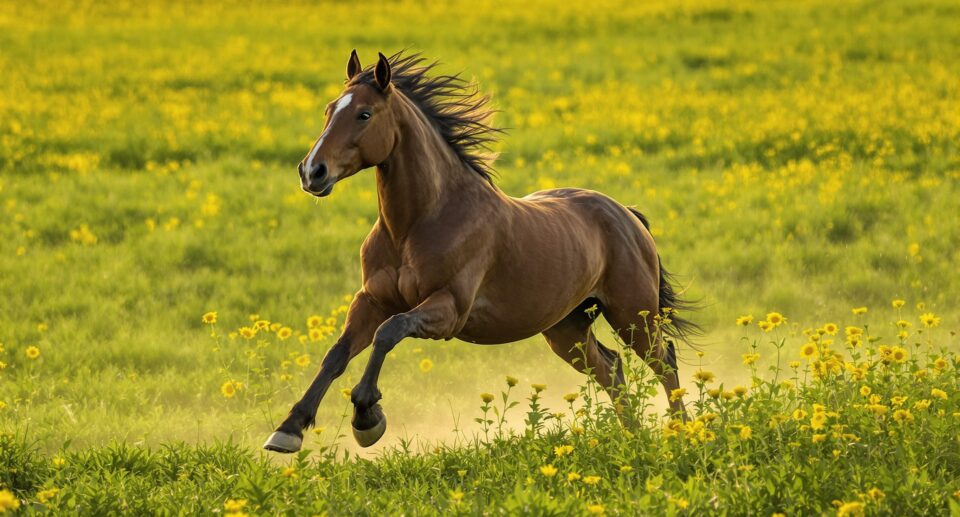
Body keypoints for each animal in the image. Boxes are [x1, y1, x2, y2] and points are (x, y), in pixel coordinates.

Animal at [262, 48, 696, 452]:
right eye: (328, 110)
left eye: (364, 114)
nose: (312, 172)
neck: (416, 225)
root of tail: (627, 216)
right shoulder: (371, 300)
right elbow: (337, 354)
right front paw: (288, 430)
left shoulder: (449, 309)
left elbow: (389, 332)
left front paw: (367, 417)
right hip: (566, 329)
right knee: (612, 368)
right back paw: (633, 437)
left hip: (632, 315)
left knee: (664, 361)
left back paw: (681, 432)